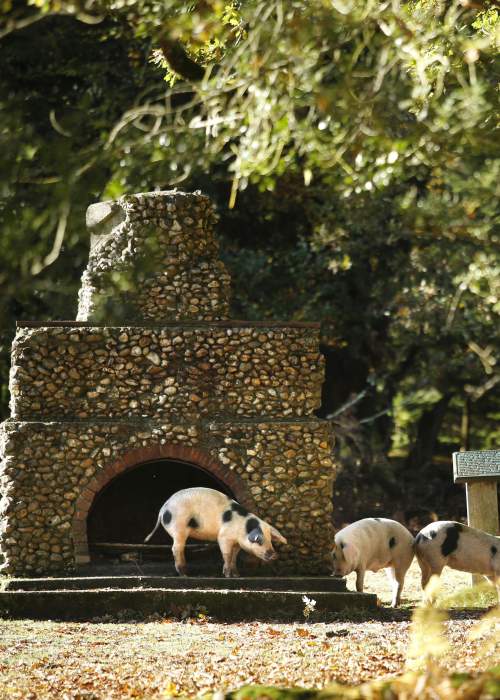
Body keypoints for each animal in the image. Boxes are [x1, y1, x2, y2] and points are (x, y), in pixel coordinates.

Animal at [143, 490, 288, 576]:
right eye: (259, 540)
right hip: (179, 527)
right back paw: (184, 573)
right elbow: (227, 554)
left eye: (270, 540)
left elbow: (234, 556)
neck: (242, 528)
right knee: (176, 548)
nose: (274, 555)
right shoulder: (224, 537)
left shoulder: (237, 543)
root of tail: (163, 509)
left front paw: (237, 575)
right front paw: (228, 575)